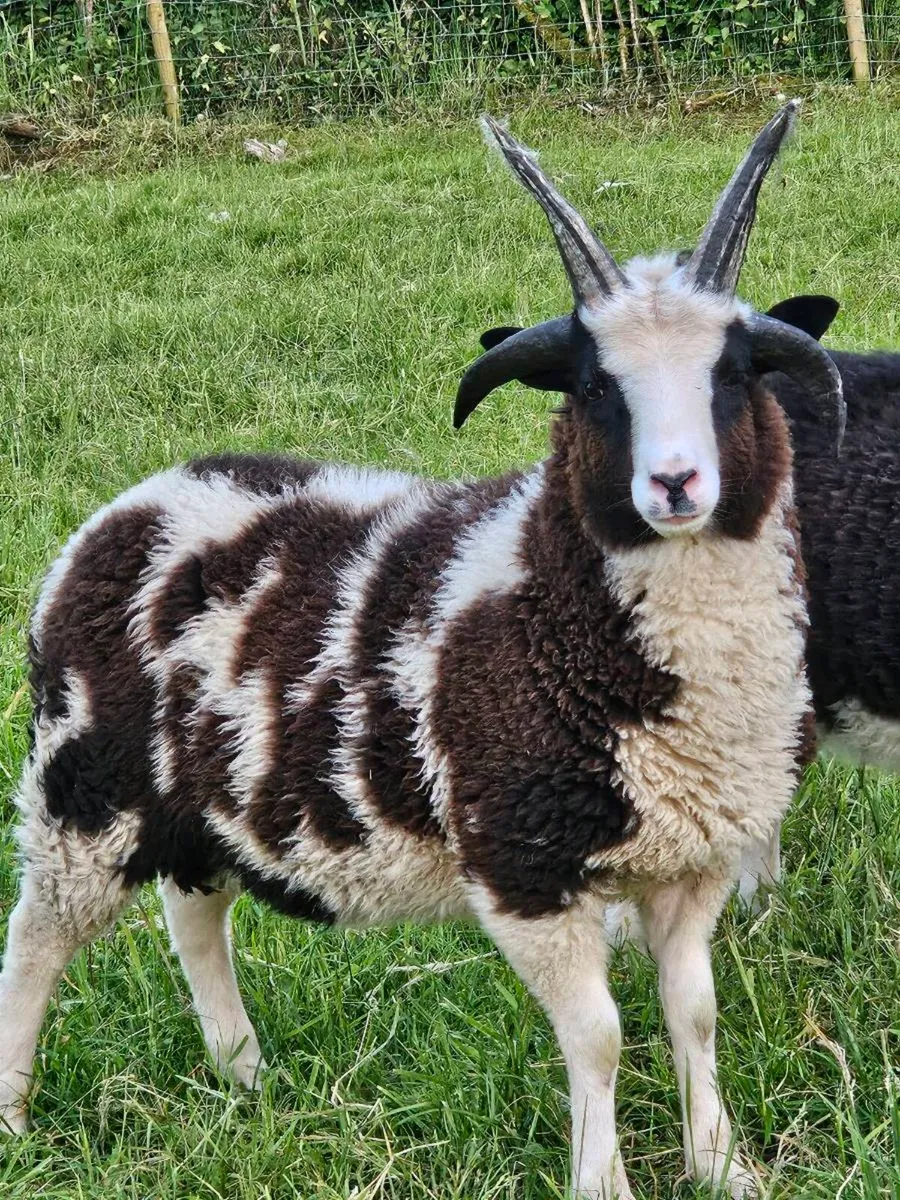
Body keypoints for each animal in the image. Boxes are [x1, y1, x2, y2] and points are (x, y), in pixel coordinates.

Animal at [0, 105, 843, 1200]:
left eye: (736, 373)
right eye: (594, 386)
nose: (674, 485)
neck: (558, 611)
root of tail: (117, 514)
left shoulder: (693, 861)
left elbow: (694, 1014)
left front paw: (722, 1168)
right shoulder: (521, 865)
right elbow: (601, 1037)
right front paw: (605, 1181)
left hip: (204, 798)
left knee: (194, 911)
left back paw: (244, 1074)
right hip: (85, 790)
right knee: (36, 940)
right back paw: (16, 1117)